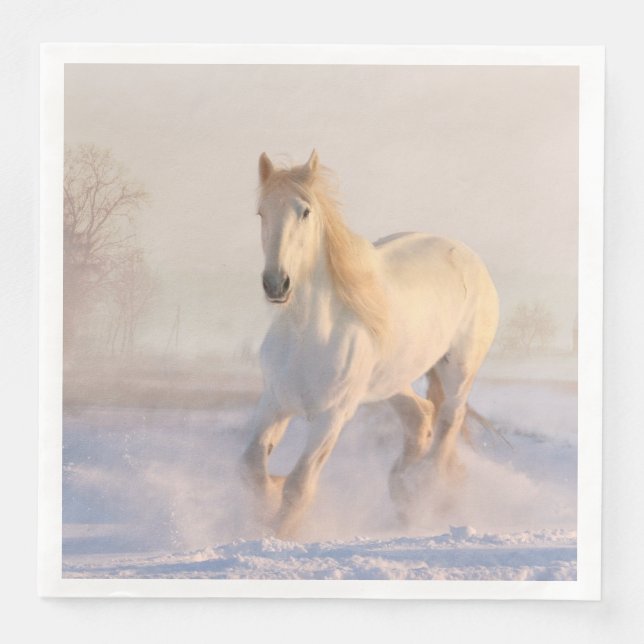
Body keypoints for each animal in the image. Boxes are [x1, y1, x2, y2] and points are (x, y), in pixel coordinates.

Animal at [241, 150, 499, 538]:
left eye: (305, 211)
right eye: (261, 212)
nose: (276, 284)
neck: (307, 334)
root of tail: (468, 256)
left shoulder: (332, 416)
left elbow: (299, 485)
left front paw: (280, 532)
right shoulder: (274, 401)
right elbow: (253, 467)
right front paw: (269, 499)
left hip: (459, 369)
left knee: (448, 421)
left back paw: (424, 490)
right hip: (391, 381)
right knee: (420, 416)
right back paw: (403, 491)